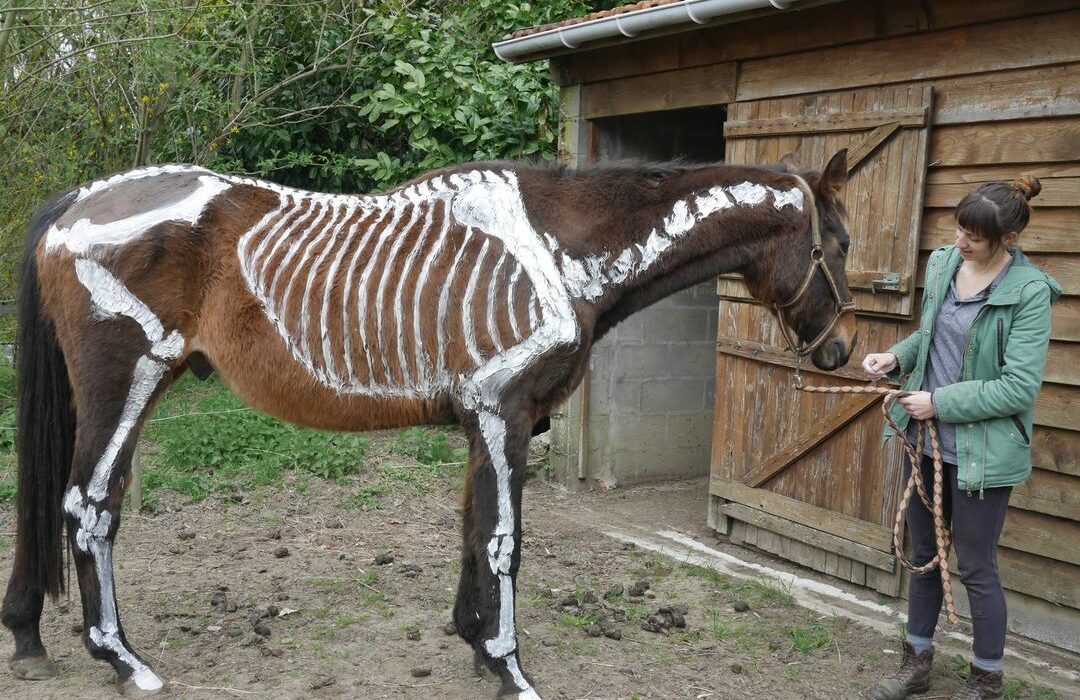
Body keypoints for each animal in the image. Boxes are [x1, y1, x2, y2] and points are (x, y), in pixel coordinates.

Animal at [4, 147, 855, 695]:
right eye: (839, 244)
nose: (843, 352)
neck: (563, 252)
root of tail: (80, 199)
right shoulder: (505, 408)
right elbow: (506, 537)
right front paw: (511, 667)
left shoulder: (488, 415)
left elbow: (472, 524)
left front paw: (475, 644)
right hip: (128, 378)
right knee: (89, 505)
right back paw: (123, 660)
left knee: (62, 504)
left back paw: (29, 635)